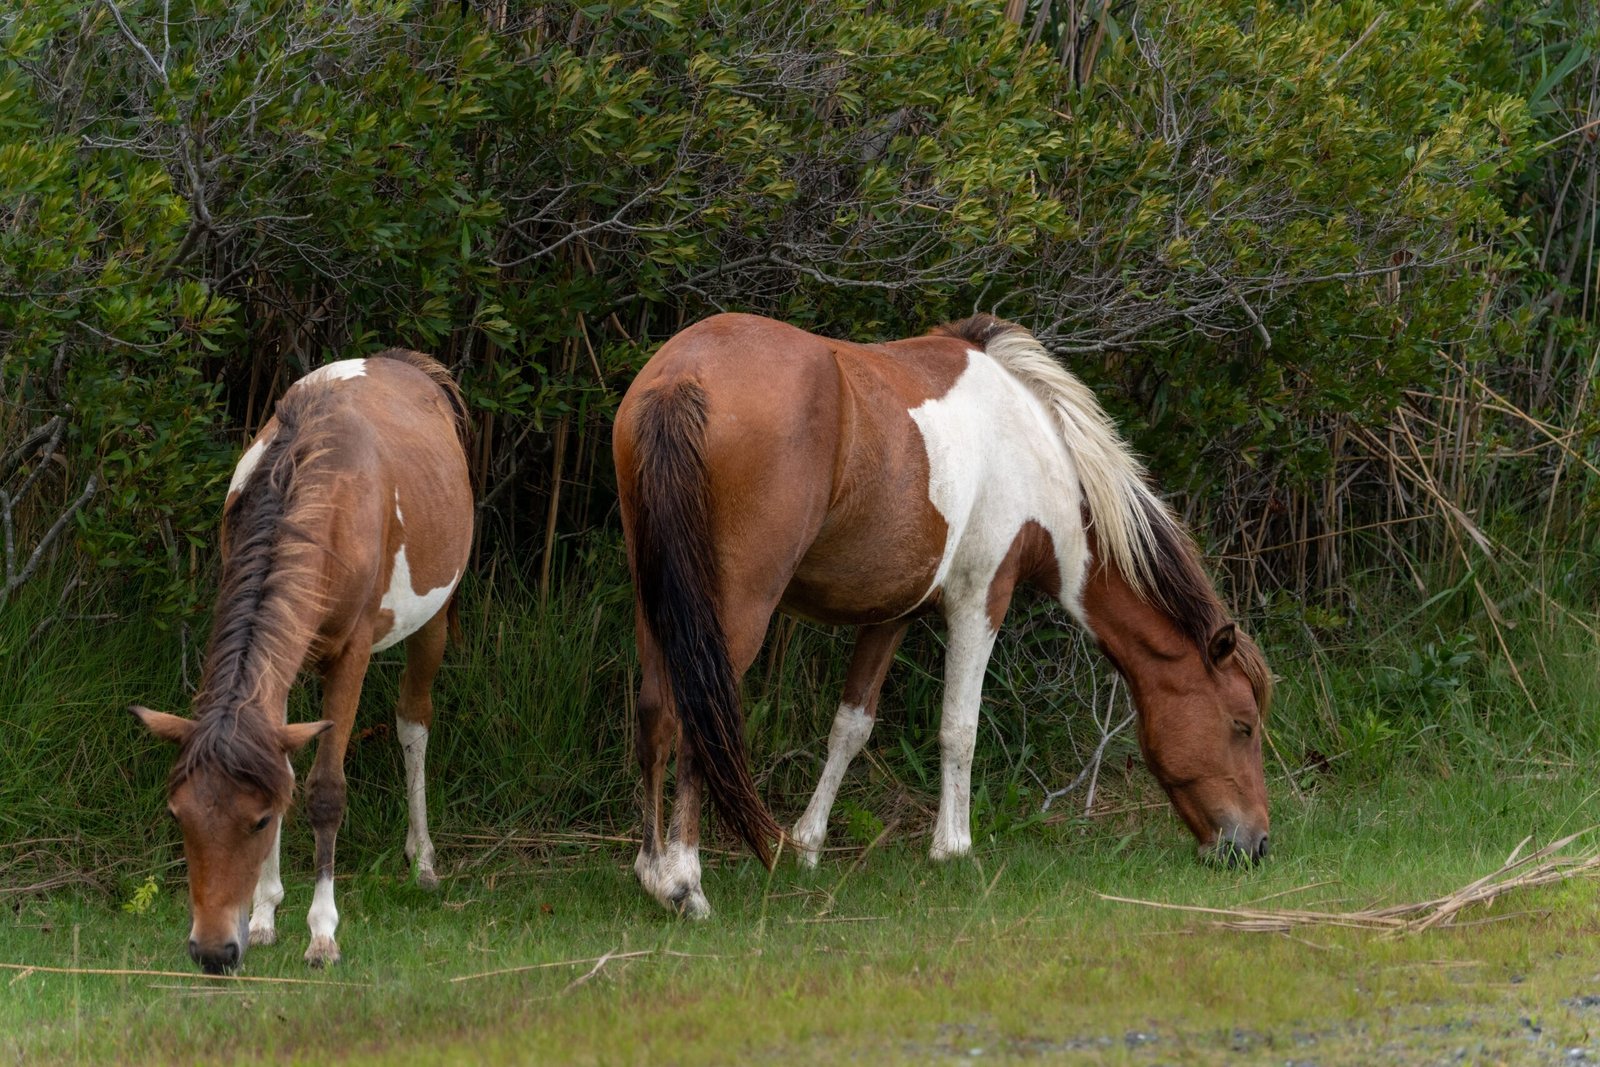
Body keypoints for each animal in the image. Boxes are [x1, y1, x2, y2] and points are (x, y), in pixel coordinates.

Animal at [132, 350, 473, 973]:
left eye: (258, 821)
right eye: (178, 816)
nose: (213, 950)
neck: (314, 501)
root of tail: (406, 363)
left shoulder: (352, 654)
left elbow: (323, 789)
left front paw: (322, 933)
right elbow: (285, 771)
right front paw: (264, 916)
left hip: (433, 619)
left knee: (414, 721)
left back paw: (423, 861)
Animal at [613, 313, 1272, 918]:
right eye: (1242, 725)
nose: (1257, 845)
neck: (1037, 447)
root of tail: (683, 375)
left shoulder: (891, 612)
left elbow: (850, 728)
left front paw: (807, 846)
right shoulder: (982, 598)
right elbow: (960, 727)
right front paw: (952, 848)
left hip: (658, 602)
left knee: (655, 712)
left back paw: (652, 871)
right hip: (731, 610)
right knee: (698, 717)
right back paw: (684, 884)